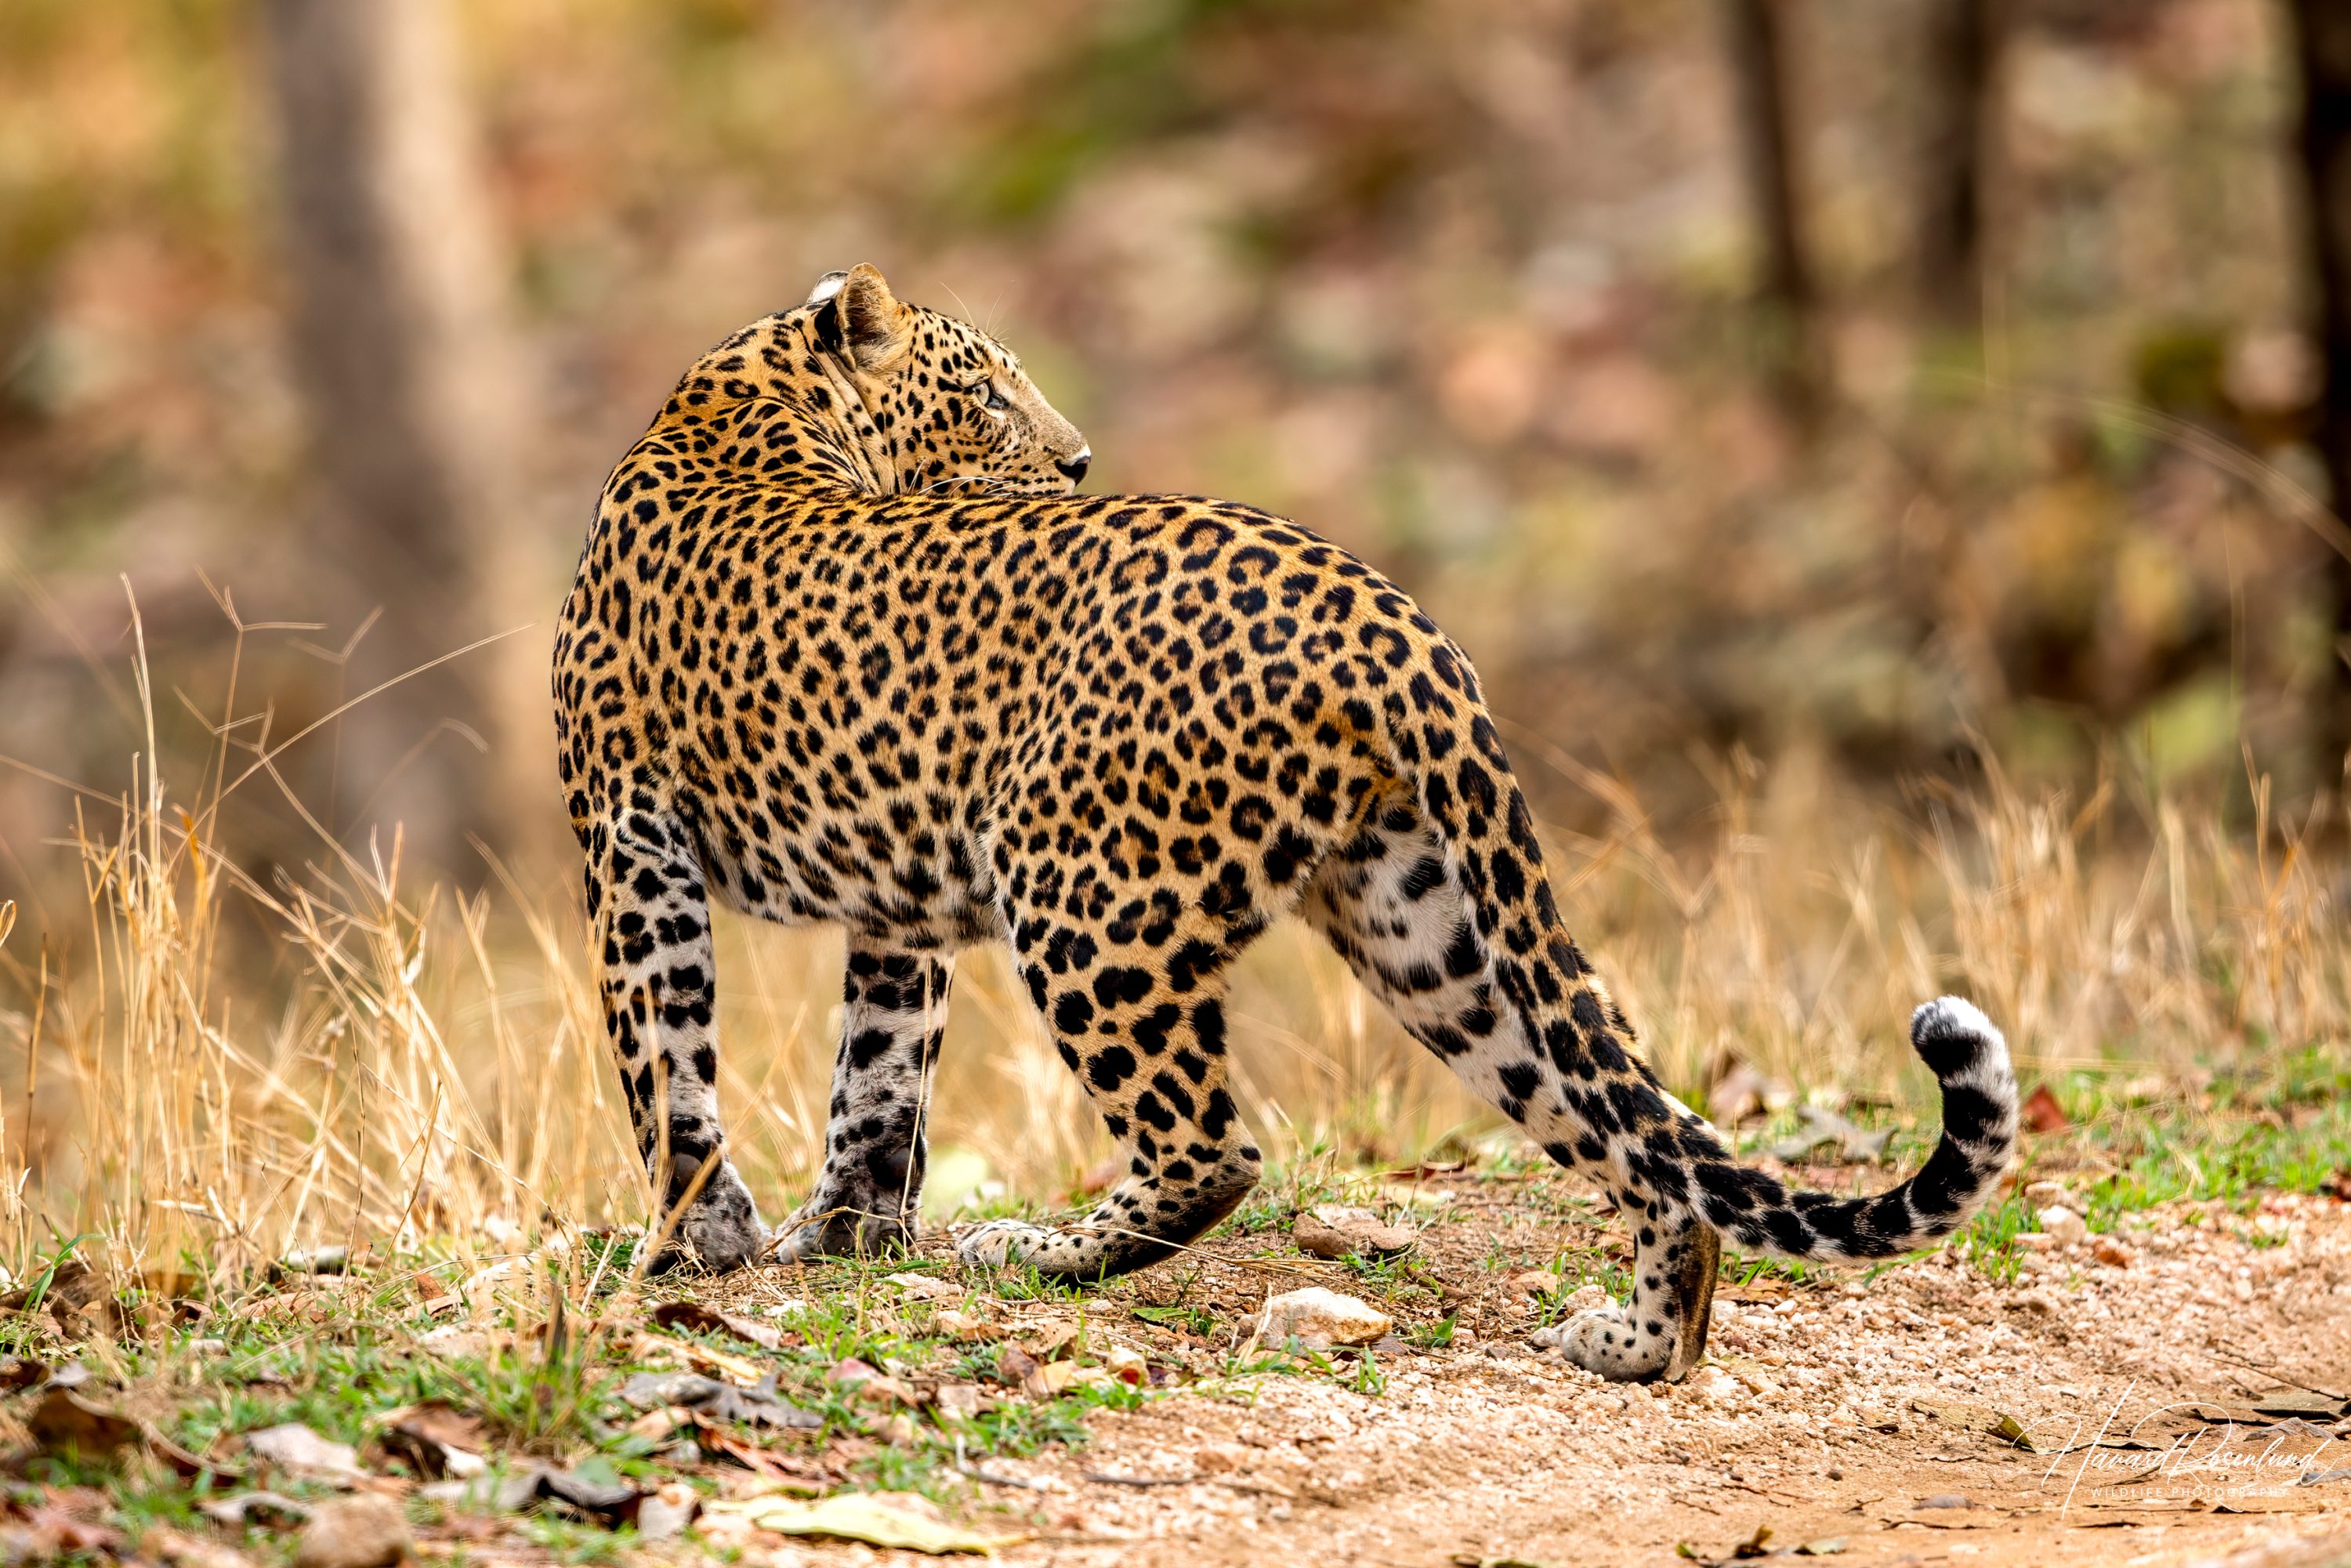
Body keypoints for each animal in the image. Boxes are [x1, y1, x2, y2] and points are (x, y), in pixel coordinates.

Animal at [551, 262, 2019, 1382]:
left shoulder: (629, 844)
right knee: (1641, 1129)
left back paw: (1041, 1251)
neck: (751, 395)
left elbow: (665, 1063)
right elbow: (876, 1078)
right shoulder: (883, 908)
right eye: (983, 394)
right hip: (1432, 924)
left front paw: (695, 1245)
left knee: (1214, 1144)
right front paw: (837, 1235)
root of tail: (1396, 622)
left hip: (1082, 893)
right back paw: (1640, 1342)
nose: (1079, 459)